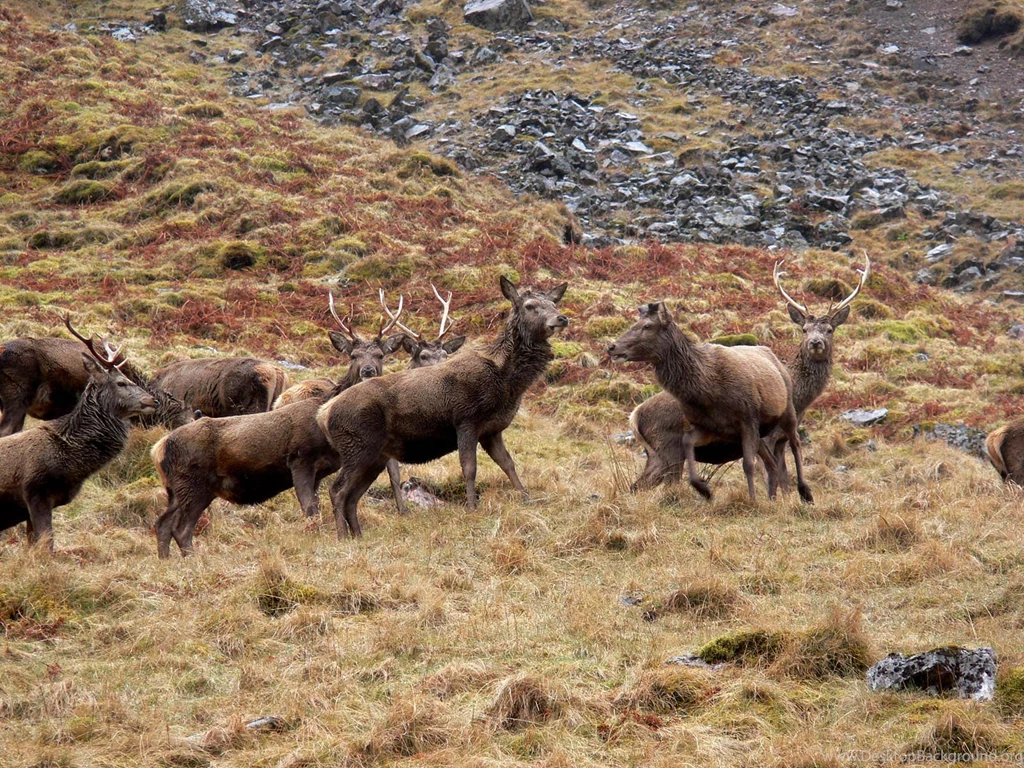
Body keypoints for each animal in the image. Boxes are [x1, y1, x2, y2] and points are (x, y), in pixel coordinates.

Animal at [150, 293, 407, 558]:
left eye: (380, 355)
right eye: (353, 355)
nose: (368, 370)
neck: (324, 427)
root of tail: (158, 448)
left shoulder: (320, 469)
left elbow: (315, 505)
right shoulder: (300, 457)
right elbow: (309, 508)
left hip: (179, 489)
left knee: (164, 523)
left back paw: (167, 560)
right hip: (193, 483)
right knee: (180, 528)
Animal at [316, 276, 568, 538]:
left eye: (553, 303)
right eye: (529, 305)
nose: (561, 318)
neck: (506, 383)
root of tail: (323, 414)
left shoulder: (492, 430)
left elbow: (508, 463)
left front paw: (527, 498)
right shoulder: (466, 419)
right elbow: (469, 467)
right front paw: (472, 508)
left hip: (373, 455)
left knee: (352, 496)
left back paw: (357, 535)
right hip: (357, 447)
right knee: (337, 490)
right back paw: (342, 536)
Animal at [607, 297, 812, 504]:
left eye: (647, 325)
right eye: (635, 322)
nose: (611, 346)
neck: (709, 390)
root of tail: (634, 417)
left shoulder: (747, 418)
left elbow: (748, 464)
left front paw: (751, 500)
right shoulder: (709, 427)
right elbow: (688, 443)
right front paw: (704, 489)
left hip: (787, 411)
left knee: (795, 444)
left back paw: (805, 492)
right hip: (663, 453)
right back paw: (773, 498)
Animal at [630, 255, 868, 492]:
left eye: (829, 330)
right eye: (804, 329)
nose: (815, 343)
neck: (798, 399)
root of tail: (635, 416)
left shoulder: (780, 439)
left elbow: (783, 478)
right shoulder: (767, 437)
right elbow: (774, 476)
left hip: (657, 453)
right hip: (668, 448)